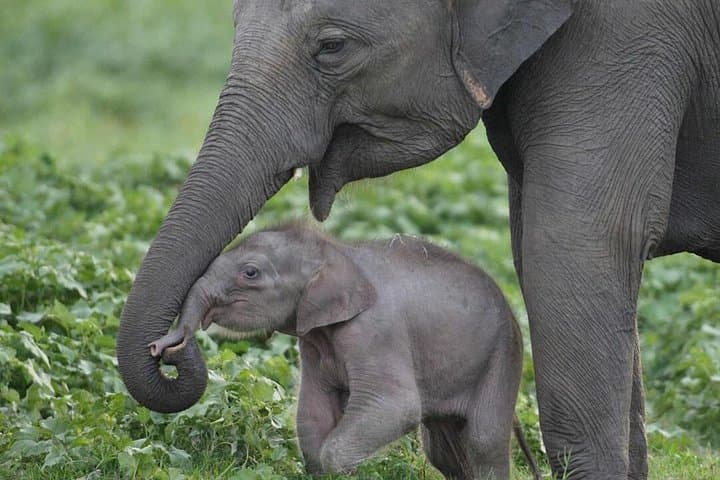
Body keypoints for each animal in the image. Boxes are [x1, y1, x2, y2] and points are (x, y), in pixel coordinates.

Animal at [148, 224, 541, 480]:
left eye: (251, 273)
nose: (163, 347)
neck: (337, 252)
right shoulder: (313, 341)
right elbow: (313, 411)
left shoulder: (376, 331)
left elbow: (395, 406)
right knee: (444, 449)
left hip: (503, 357)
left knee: (482, 441)